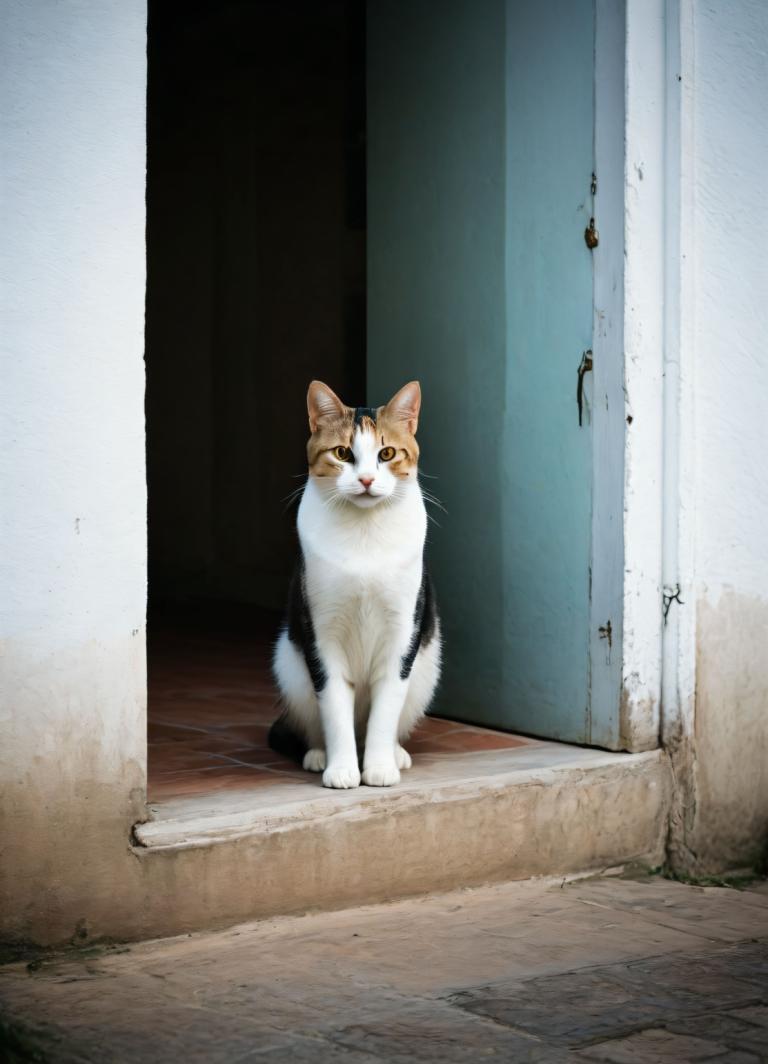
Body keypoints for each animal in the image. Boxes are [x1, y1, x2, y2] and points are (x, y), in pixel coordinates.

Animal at [269, 378, 440, 787]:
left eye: (387, 453)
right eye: (343, 453)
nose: (365, 479)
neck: (365, 530)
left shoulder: (403, 631)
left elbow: (386, 708)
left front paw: (378, 768)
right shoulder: (321, 632)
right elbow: (333, 706)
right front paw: (343, 769)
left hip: (427, 667)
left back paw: (395, 754)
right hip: (289, 663)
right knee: (313, 720)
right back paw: (318, 754)